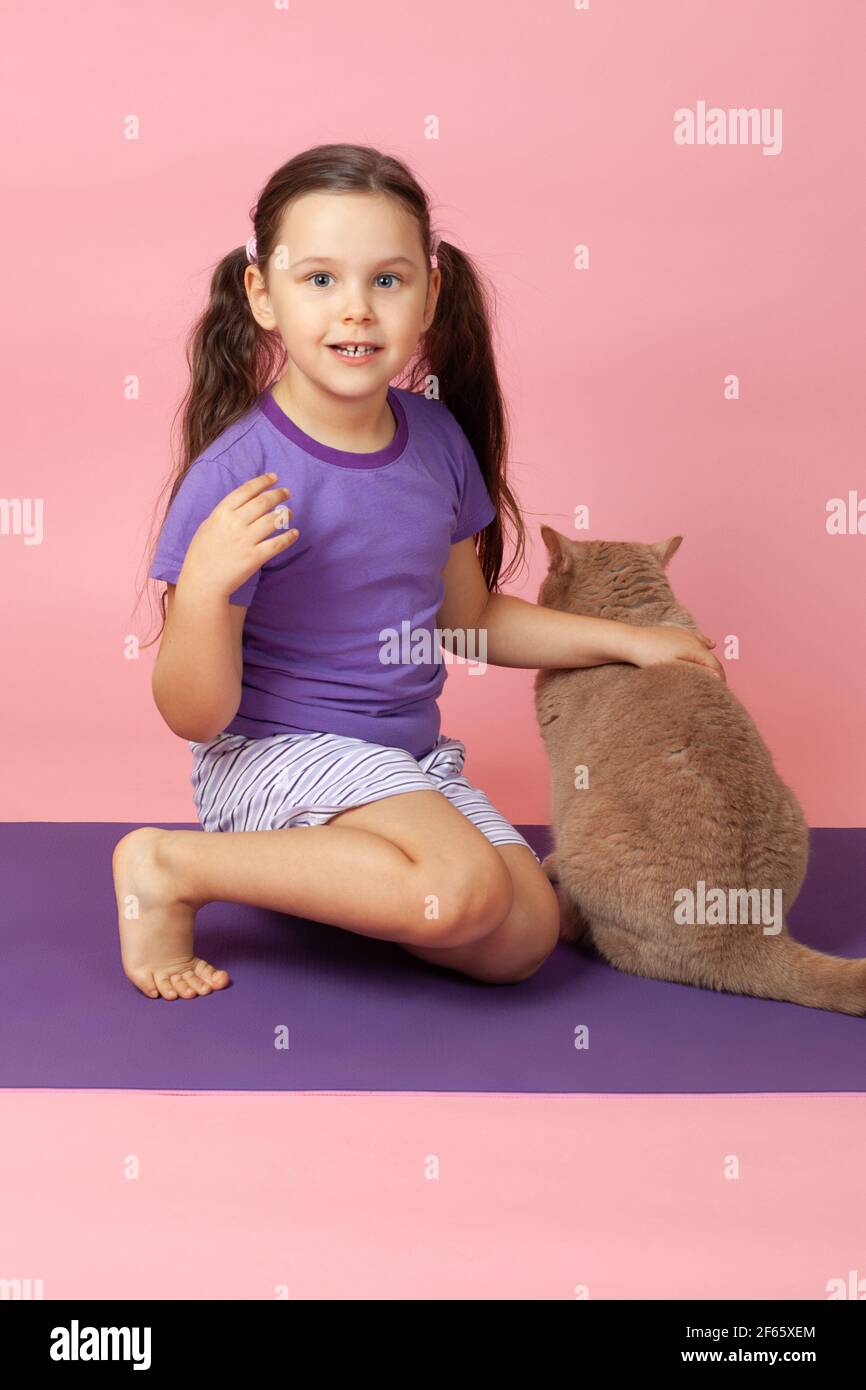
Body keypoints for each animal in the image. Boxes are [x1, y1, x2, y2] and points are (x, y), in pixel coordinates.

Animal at [536, 525, 866, 1017]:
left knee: (598, 936)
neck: (639, 622)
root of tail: (747, 934)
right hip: (795, 810)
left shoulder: (563, 775)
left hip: (588, 837)